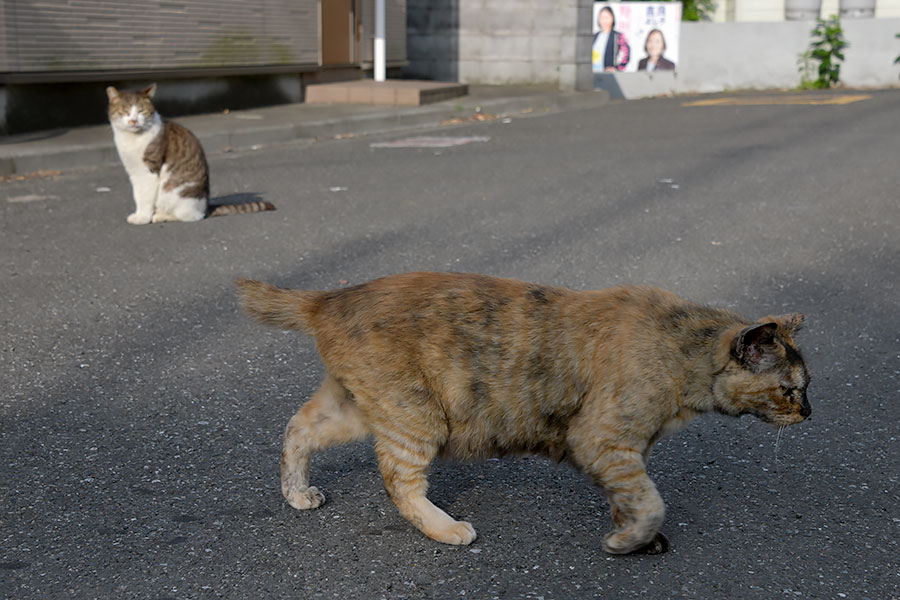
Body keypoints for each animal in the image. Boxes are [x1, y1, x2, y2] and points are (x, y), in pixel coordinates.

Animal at [106, 83, 274, 224]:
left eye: (141, 111)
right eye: (125, 111)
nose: (133, 121)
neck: (131, 139)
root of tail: (206, 206)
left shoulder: (148, 171)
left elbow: (145, 197)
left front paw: (142, 217)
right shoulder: (133, 171)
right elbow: (137, 195)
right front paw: (139, 214)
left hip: (174, 192)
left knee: (191, 216)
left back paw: (161, 216)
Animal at [234, 272, 808, 552]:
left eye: (807, 387)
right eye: (789, 390)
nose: (810, 412)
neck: (681, 348)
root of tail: (327, 299)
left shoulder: (622, 453)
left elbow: (631, 497)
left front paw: (637, 538)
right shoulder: (603, 440)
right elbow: (650, 503)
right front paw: (626, 542)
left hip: (359, 407)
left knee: (297, 429)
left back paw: (297, 494)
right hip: (416, 417)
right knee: (399, 482)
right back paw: (446, 529)